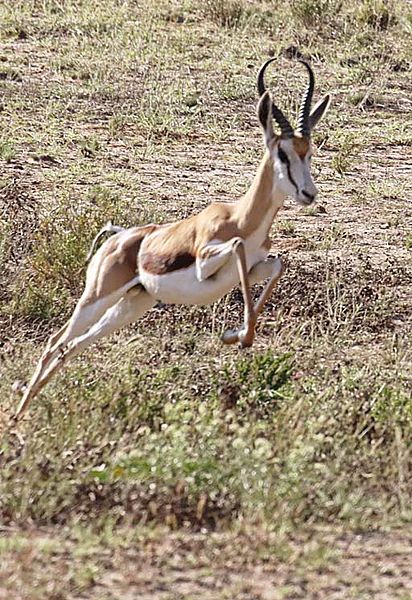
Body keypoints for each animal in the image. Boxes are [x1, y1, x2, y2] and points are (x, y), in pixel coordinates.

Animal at [14, 58, 332, 420]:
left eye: (309, 152)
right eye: (282, 153)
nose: (308, 193)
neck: (241, 217)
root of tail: (117, 238)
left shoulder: (254, 269)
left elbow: (277, 265)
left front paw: (233, 336)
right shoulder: (208, 262)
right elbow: (237, 246)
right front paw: (239, 336)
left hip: (132, 305)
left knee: (71, 347)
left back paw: (25, 412)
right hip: (95, 298)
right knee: (54, 343)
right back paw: (17, 416)